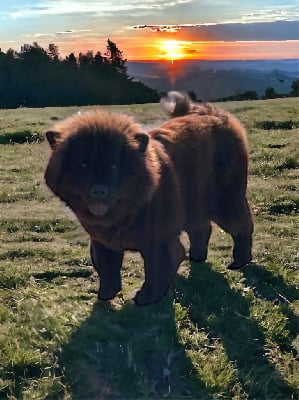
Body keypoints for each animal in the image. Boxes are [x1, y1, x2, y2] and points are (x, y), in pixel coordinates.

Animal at [45, 92, 254, 304]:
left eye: (114, 166)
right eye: (83, 165)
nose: (99, 190)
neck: (128, 211)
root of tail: (211, 113)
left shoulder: (159, 241)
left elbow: (156, 270)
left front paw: (145, 298)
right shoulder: (102, 241)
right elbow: (107, 269)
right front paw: (105, 294)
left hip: (225, 199)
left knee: (242, 226)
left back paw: (239, 261)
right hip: (194, 202)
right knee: (202, 229)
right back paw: (197, 257)